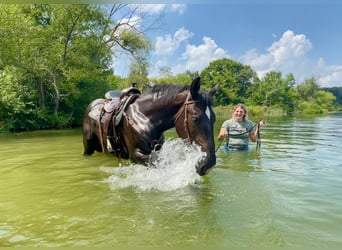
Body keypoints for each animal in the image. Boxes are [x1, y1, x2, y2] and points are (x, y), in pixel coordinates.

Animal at [81, 77, 218, 177]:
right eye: (195, 117)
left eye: (214, 118)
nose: (209, 164)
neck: (145, 117)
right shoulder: (136, 155)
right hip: (88, 148)